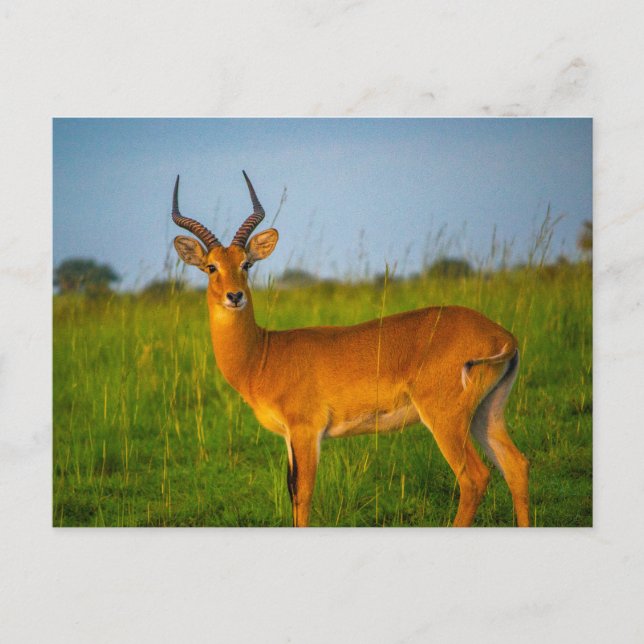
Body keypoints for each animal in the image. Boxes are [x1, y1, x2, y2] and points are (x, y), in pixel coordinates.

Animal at [171, 172, 530, 527]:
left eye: (246, 264)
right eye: (212, 267)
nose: (235, 296)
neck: (264, 355)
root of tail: (502, 335)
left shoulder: (306, 431)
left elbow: (303, 497)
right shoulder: (289, 437)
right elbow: (292, 495)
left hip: (446, 419)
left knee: (475, 478)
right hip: (486, 414)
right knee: (517, 466)